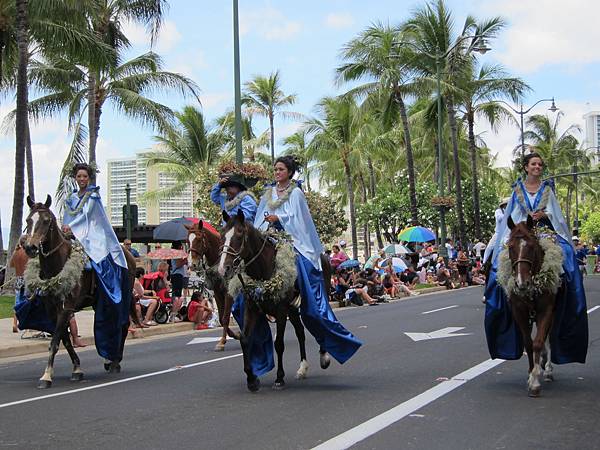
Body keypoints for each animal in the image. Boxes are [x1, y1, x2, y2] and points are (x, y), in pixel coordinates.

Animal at [23, 195, 136, 388]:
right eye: (28, 220)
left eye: (46, 220)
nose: (30, 247)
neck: (57, 265)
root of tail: (128, 253)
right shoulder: (52, 310)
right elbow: (65, 340)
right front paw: (76, 369)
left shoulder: (66, 307)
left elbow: (54, 342)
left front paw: (46, 376)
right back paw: (109, 360)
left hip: (124, 298)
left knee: (124, 325)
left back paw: (115, 362)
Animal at [189, 219, 243, 352]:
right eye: (188, 240)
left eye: (199, 238)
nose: (192, 264)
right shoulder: (218, 293)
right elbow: (221, 318)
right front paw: (235, 335)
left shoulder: (228, 294)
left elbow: (225, 317)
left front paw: (222, 342)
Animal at [506, 216, 556, 396]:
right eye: (510, 247)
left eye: (531, 246)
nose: (522, 283)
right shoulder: (519, 311)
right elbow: (528, 343)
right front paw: (530, 373)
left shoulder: (547, 310)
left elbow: (538, 342)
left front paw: (535, 382)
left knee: (548, 338)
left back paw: (547, 369)